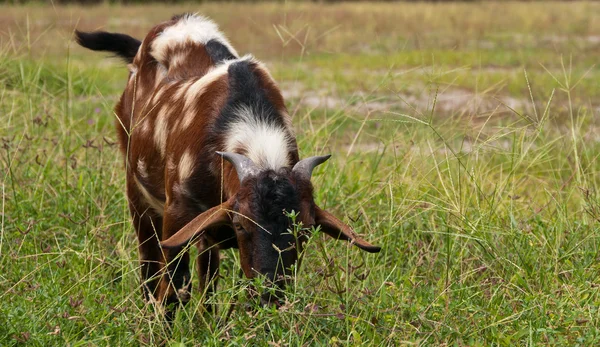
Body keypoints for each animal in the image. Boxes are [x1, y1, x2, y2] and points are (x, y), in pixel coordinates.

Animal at [76, 12, 380, 312]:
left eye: (304, 230)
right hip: (137, 193)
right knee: (149, 266)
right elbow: (174, 289)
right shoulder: (177, 216)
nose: (271, 297)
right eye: (242, 225)